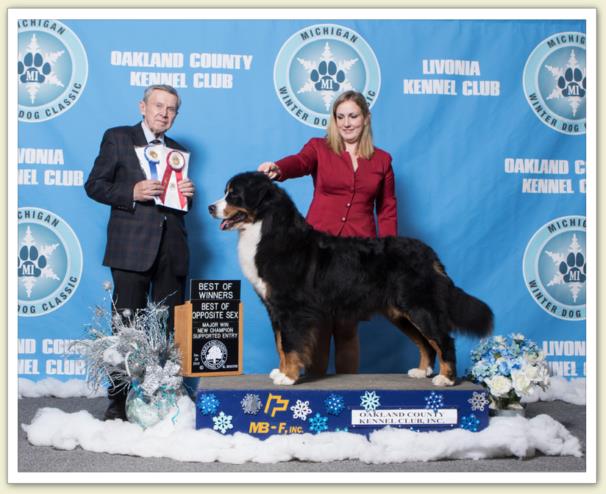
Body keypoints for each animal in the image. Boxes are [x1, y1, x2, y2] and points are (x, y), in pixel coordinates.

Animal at [209, 173, 494, 386]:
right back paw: (421, 371)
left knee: (443, 340)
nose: (211, 207)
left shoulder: (291, 308)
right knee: (426, 343)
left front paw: (288, 377)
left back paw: (446, 379)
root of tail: (429, 253)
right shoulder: (275, 308)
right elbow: (281, 343)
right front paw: (281, 371)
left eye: (233, 194)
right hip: (400, 313)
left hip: (419, 306)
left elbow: (290, 344)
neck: (264, 231)